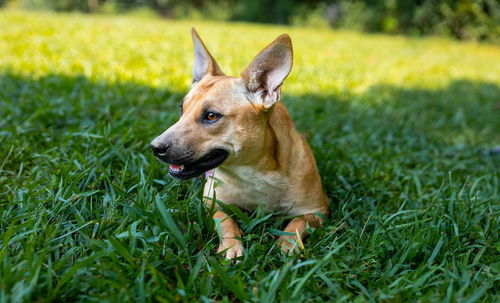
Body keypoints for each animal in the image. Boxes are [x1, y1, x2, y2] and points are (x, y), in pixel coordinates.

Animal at [150, 28, 330, 260]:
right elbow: (226, 221)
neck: (256, 172)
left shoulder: (317, 211)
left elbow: (297, 223)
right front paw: (231, 246)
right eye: (182, 108)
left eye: (211, 116)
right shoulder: (211, 204)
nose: (155, 147)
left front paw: (286, 245)